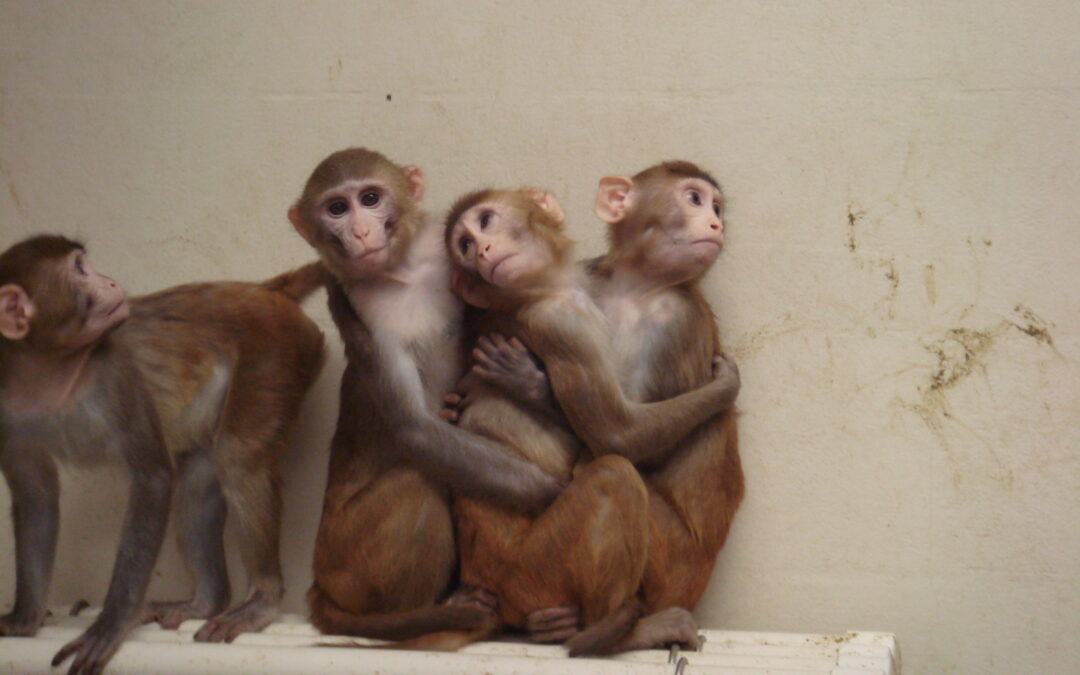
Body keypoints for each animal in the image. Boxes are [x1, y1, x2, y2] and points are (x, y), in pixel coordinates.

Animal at [0, 235, 326, 674]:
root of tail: (261, 290)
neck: (51, 374)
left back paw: (261, 602)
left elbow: (153, 478)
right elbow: (36, 499)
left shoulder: (116, 376)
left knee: (238, 458)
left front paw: (110, 625)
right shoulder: (7, 410)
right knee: (199, 482)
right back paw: (205, 602)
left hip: (275, 352)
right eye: (81, 270)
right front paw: (24, 618)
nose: (109, 281)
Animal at [286, 148, 565, 641]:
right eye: (336, 208)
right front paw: (552, 489)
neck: (404, 271)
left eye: (370, 198)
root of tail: (319, 581)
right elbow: (413, 427)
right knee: (420, 476)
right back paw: (426, 614)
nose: (362, 232)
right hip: (350, 561)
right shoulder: (365, 312)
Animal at [432, 186, 740, 654]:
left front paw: (521, 383)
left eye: (484, 223)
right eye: (464, 245)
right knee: (614, 474)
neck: (540, 292)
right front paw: (725, 387)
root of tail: (487, 586)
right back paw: (611, 634)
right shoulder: (564, 322)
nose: (481, 250)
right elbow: (618, 437)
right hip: (535, 572)